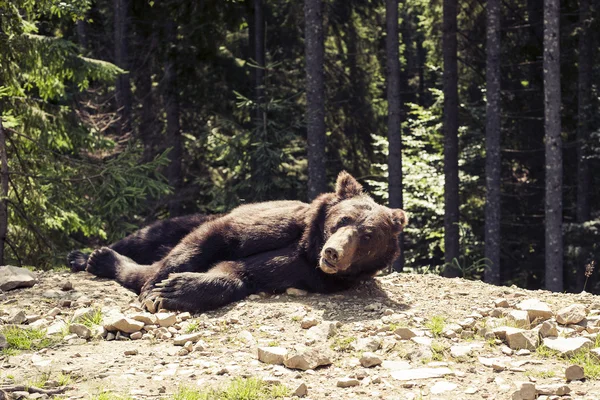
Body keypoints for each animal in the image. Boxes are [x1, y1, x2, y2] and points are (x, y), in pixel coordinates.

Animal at [71, 172, 408, 312]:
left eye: (367, 237)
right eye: (342, 220)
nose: (333, 253)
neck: (307, 246)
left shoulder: (303, 272)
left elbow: (238, 273)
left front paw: (173, 290)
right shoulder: (272, 223)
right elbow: (210, 240)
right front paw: (156, 287)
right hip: (189, 219)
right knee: (153, 235)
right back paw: (89, 256)